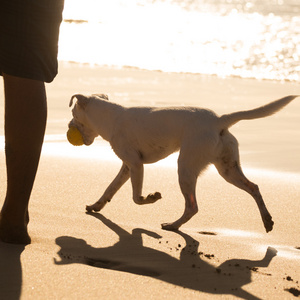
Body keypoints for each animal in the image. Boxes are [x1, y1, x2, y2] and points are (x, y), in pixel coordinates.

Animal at [68, 94, 298, 232]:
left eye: (73, 114)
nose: (68, 126)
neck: (111, 118)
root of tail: (218, 120)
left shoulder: (136, 164)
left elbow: (136, 197)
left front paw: (151, 198)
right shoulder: (127, 166)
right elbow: (110, 188)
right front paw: (96, 205)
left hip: (185, 168)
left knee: (192, 206)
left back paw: (173, 225)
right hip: (227, 169)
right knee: (254, 187)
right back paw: (267, 220)